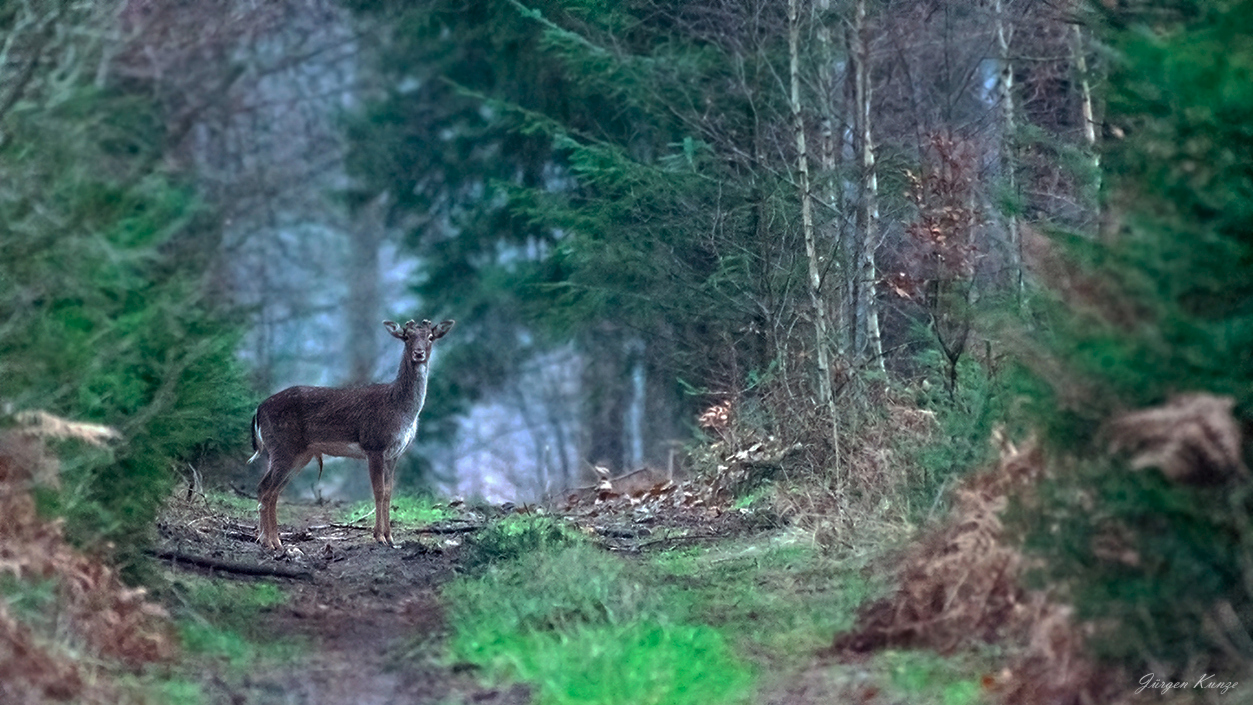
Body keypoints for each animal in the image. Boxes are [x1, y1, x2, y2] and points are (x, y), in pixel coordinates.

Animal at [248, 318, 456, 550]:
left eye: (430, 336)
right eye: (407, 336)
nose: (418, 353)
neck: (401, 410)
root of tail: (258, 410)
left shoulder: (394, 454)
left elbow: (389, 492)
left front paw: (390, 537)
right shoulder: (374, 444)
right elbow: (378, 491)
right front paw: (379, 536)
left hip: (298, 454)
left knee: (270, 489)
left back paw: (266, 538)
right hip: (283, 446)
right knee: (266, 488)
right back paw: (271, 541)